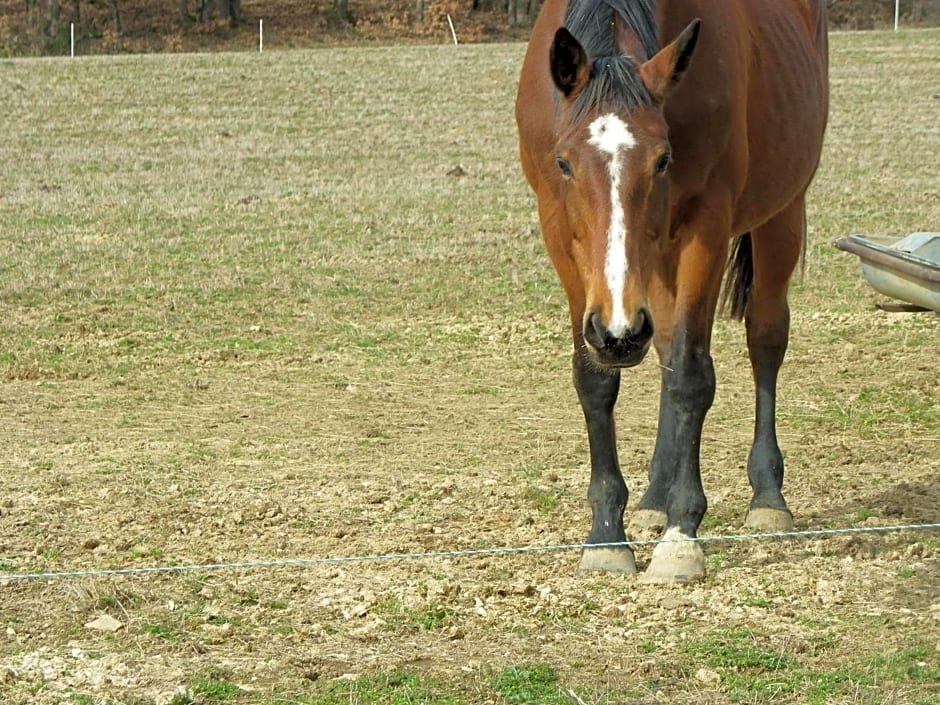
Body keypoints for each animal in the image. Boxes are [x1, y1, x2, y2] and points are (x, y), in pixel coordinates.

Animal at [516, 0, 828, 584]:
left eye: (663, 159)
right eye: (565, 163)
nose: (618, 334)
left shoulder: (707, 225)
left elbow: (690, 375)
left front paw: (682, 537)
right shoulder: (558, 230)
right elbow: (596, 382)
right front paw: (607, 536)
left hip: (780, 213)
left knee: (765, 337)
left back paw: (766, 496)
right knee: (660, 345)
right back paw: (654, 496)